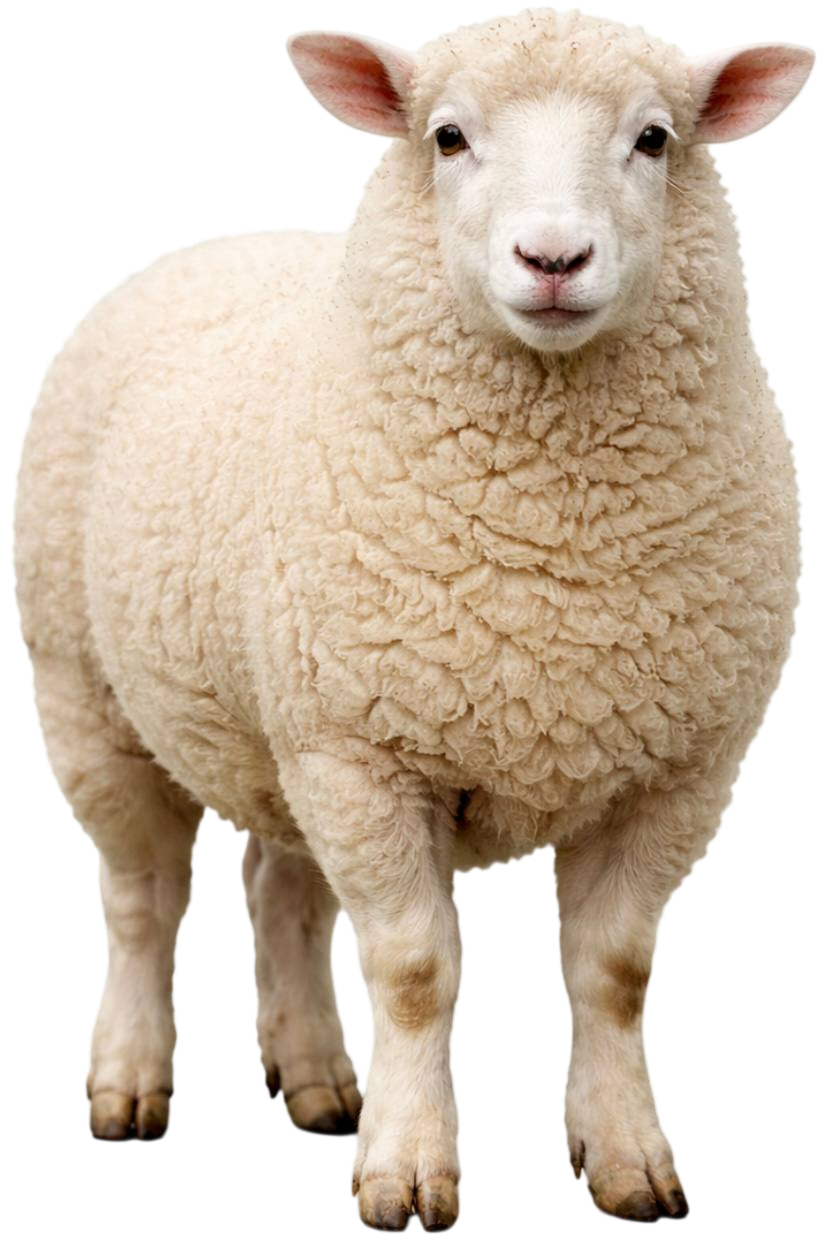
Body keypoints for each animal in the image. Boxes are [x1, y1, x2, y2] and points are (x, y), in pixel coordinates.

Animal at [10, 3, 814, 1229]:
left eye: (654, 139)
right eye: (447, 138)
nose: (552, 260)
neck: (554, 556)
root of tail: (216, 238)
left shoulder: (681, 767)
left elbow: (614, 971)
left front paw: (628, 1158)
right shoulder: (365, 753)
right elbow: (416, 970)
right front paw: (406, 1170)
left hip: (284, 723)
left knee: (279, 891)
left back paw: (314, 1080)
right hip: (89, 692)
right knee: (143, 895)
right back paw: (131, 1082)